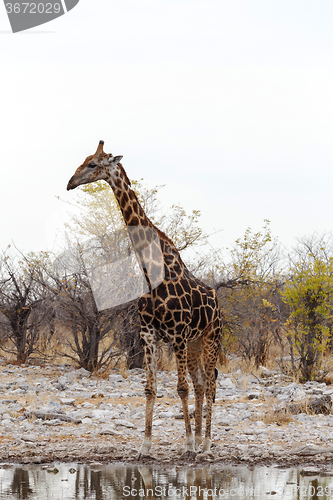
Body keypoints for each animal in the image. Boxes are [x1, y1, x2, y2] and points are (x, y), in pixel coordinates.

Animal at [66, 140, 222, 458]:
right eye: (84, 160)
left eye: (92, 164)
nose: (70, 183)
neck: (152, 271)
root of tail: (220, 306)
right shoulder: (148, 334)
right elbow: (151, 388)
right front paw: (146, 446)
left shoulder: (177, 336)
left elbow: (181, 388)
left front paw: (187, 444)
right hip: (196, 342)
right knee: (202, 383)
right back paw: (202, 438)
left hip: (211, 337)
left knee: (210, 383)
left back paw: (205, 444)